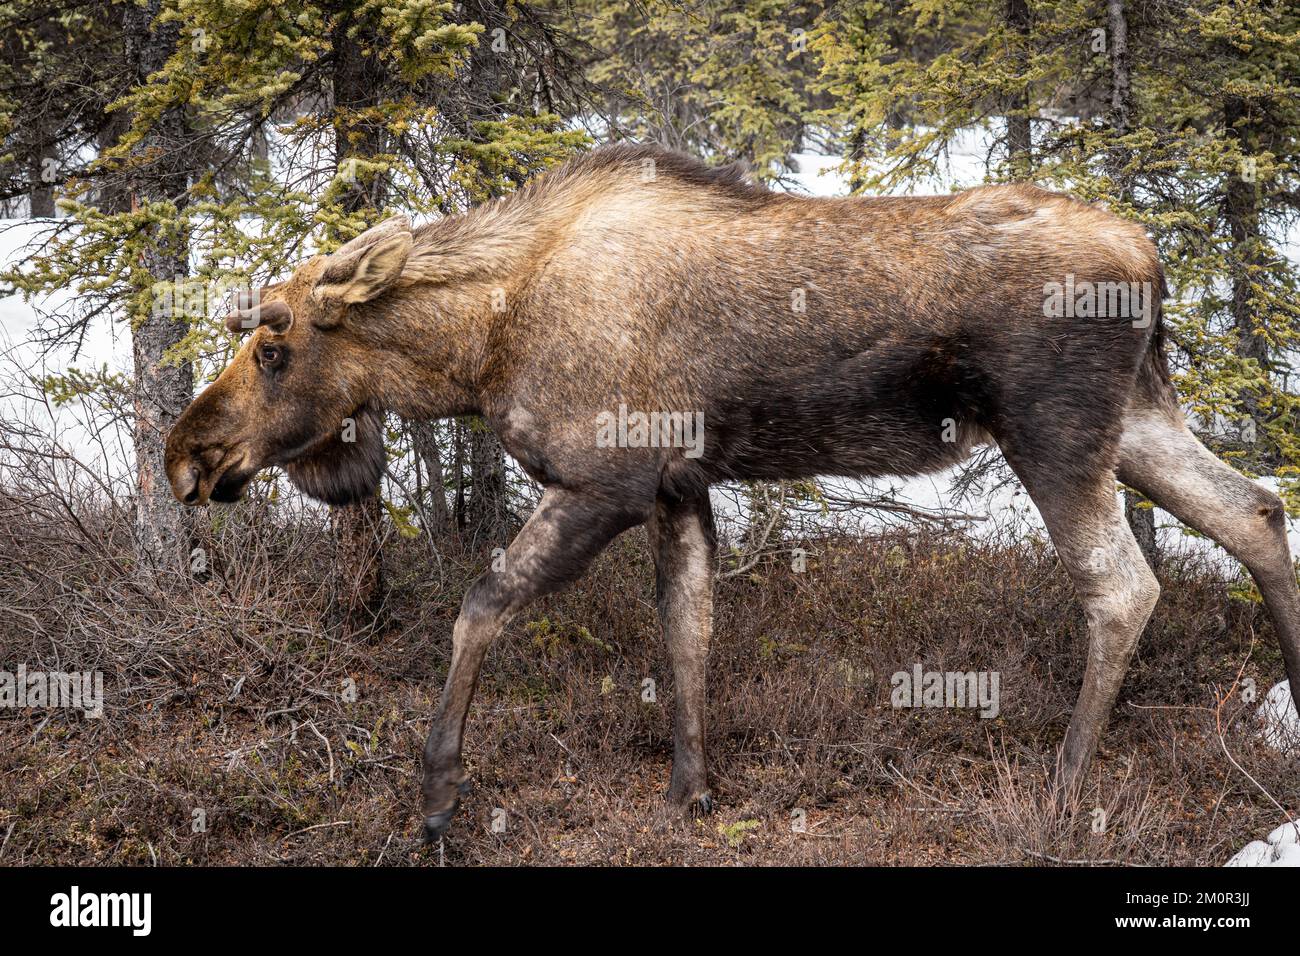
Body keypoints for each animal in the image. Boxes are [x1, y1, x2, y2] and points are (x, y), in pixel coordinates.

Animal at [165, 141, 1300, 837]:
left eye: (273, 346)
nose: (186, 454)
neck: (478, 349)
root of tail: (1153, 259)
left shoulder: (607, 479)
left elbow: (481, 603)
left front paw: (438, 794)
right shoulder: (680, 486)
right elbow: (690, 632)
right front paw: (691, 790)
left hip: (1054, 433)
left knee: (1125, 586)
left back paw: (1064, 784)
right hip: (1137, 418)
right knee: (1255, 508)